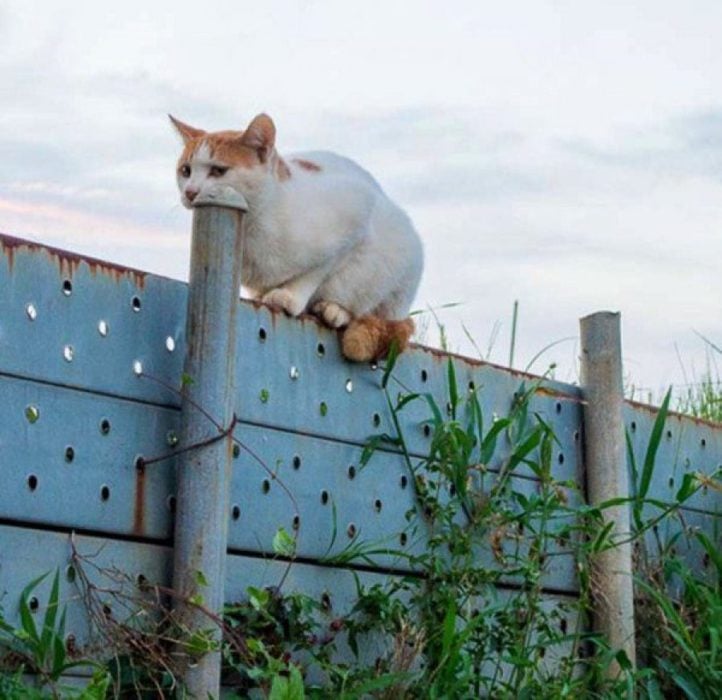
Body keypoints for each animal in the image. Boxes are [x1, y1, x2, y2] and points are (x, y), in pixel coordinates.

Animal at [169, 113, 422, 360]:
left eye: (218, 171)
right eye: (186, 171)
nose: (190, 192)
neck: (253, 227)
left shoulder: (356, 212)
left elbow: (316, 272)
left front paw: (289, 295)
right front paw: (264, 295)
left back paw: (336, 310)